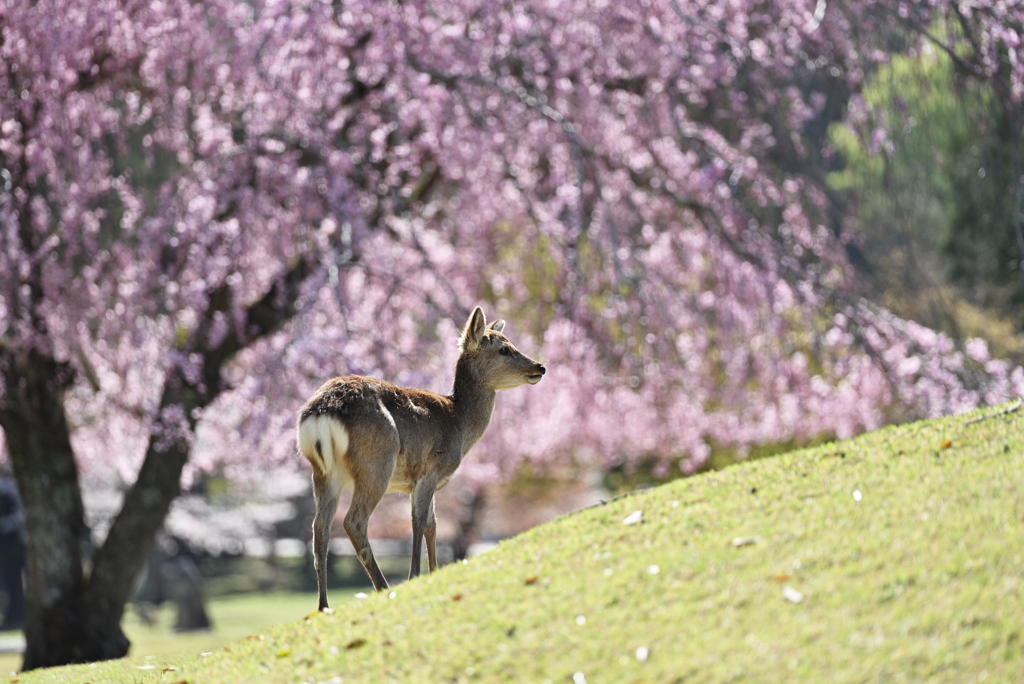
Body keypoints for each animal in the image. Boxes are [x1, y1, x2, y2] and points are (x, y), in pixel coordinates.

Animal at [294, 305, 544, 610]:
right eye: (503, 349)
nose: (539, 367)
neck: (458, 422)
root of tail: (322, 410)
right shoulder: (430, 468)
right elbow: (418, 521)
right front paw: (416, 575)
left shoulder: (424, 481)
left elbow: (432, 525)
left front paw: (435, 572)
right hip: (377, 461)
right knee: (353, 521)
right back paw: (383, 587)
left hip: (323, 471)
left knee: (320, 527)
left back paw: (323, 606)